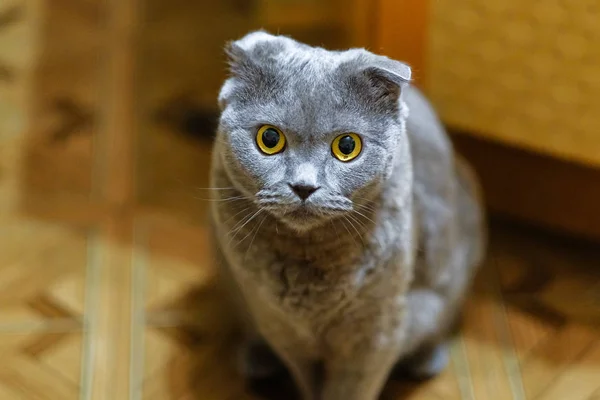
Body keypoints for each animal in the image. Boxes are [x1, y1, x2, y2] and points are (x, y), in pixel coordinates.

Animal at [209, 31, 486, 400]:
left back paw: (426, 359)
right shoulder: (281, 327)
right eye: (269, 138)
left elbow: (351, 387)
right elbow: (305, 378)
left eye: (347, 146)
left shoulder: (375, 333)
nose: (304, 186)